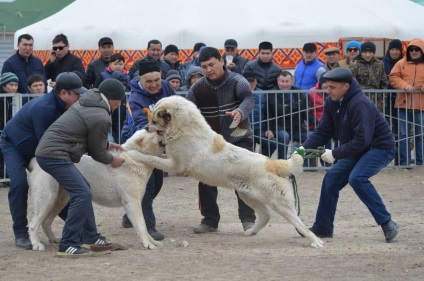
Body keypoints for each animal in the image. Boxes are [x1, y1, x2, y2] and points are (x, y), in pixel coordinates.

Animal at [27, 129, 165, 249]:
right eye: (150, 130)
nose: (159, 129)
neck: (133, 158)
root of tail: (36, 162)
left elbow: (144, 227)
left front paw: (153, 242)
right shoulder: (132, 202)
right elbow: (142, 225)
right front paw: (148, 244)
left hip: (59, 201)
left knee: (45, 223)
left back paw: (54, 239)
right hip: (47, 199)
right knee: (33, 225)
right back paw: (36, 244)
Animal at [127, 95, 322, 247]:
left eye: (154, 120)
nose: (145, 128)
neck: (184, 128)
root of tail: (273, 163)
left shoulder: (176, 166)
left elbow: (151, 158)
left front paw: (133, 153)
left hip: (279, 203)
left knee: (298, 222)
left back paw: (315, 241)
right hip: (247, 195)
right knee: (265, 215)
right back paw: (250, 232)